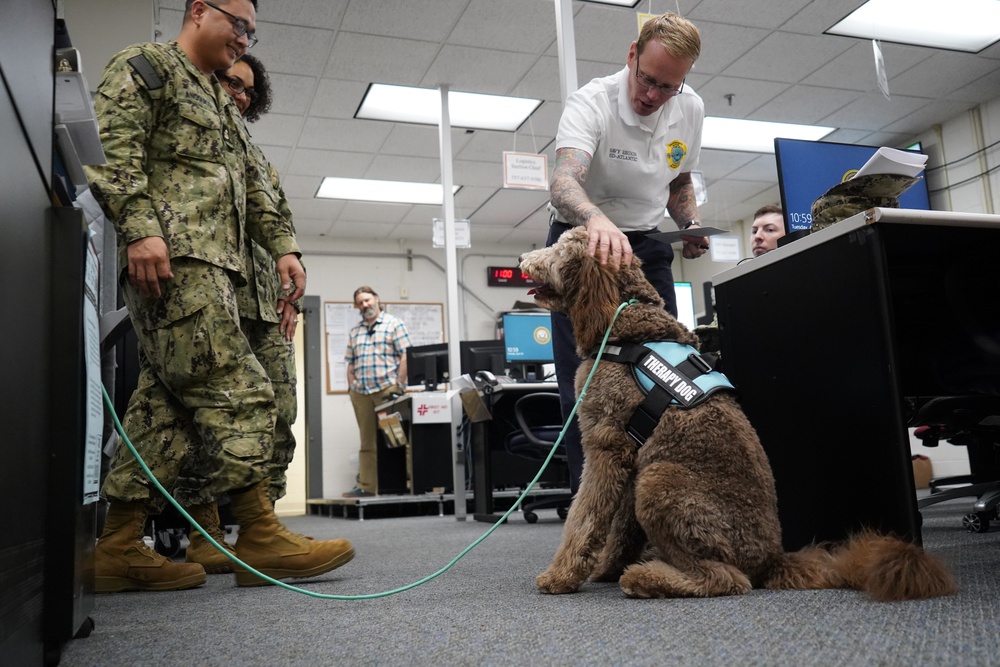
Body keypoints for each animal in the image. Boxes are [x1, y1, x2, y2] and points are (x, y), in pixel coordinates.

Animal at [520, 227, 956, 604]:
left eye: (560, 249)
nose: (523, 258)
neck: (626, 321)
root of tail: (770, 559)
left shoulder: (606, 446)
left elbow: (584, 518)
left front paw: (561, 576)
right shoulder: (630, 457)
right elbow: (618, 530)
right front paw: (605, 568)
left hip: (660, 479)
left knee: (725, 579)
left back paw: (647, 577)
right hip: (651, 476)